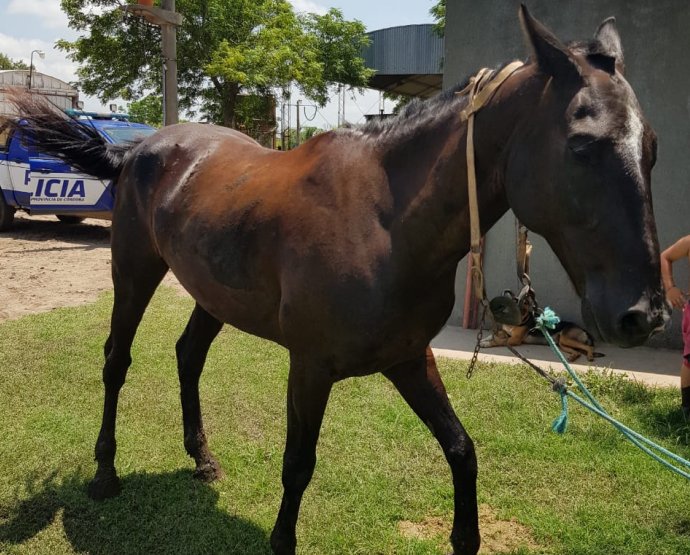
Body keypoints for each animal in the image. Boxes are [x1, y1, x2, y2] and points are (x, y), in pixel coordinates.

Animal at [11, 5, 669, 554]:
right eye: (581, 146)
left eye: (654, 147)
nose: (645, 314)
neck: (386, 220)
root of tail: (142, 148)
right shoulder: (310, 368)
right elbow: (298, 464)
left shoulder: (409, 359)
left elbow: (461, 450)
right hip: (134, 272)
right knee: (116, 361)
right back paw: (105, 474)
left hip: (212, 296)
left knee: (187, 356)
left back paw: (201, 459)